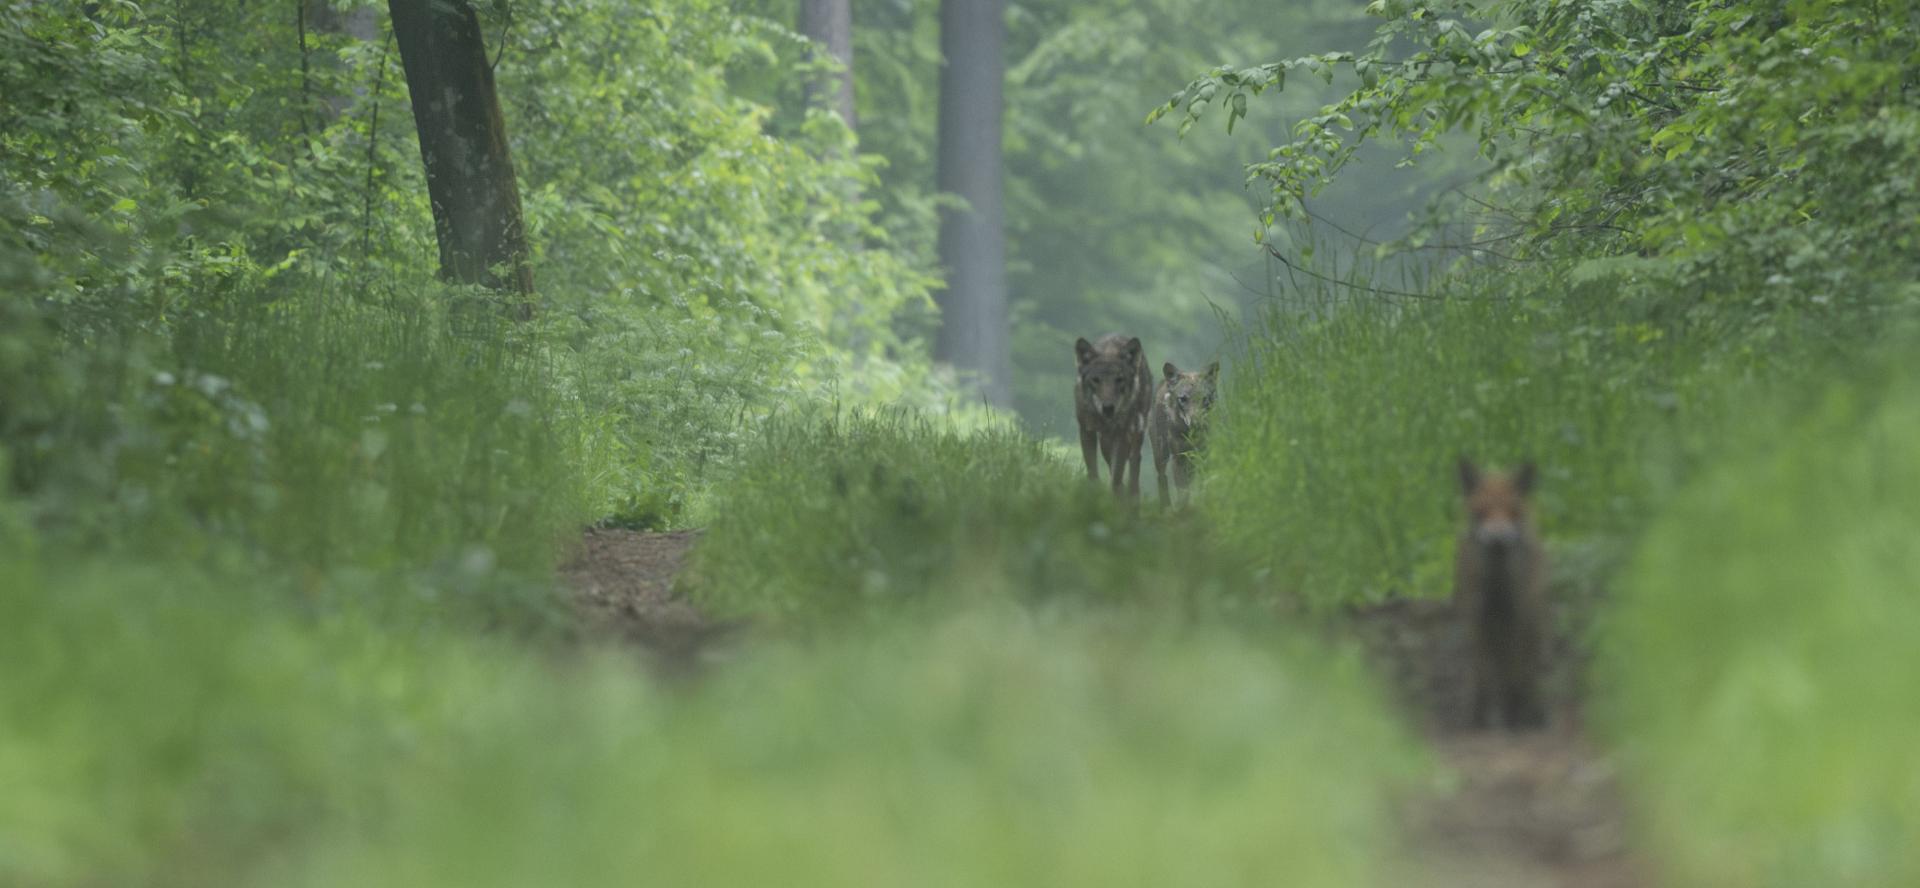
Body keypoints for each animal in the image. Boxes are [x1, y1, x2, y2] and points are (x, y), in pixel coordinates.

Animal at [1075, 333, 1144, 498]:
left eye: (1119, 380)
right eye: (1096, 380)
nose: (1108, 408)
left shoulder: (1122, 434)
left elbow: (1116, 476)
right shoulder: (1086, 431)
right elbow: (1093, 471)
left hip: (1136, 432)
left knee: (1135, 461)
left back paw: (1133, 497)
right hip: (1105, 441)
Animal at [1144, 360, 1221, 510]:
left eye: (1204, 399)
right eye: (1183, 399)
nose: (1196, 422)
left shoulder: (1205, 454)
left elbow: (1204, 482)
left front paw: (1205, 502)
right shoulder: (1179, 457)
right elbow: (1182, 489)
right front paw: (1183, 508)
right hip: (1161, 455)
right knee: (1162, 477)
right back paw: (1165, 508)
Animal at [1451, 458, 1543, 728]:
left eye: (1513, 511)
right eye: (1481, 511)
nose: (1497, 540)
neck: (1498, 591)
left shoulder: (1518, 619)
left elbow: (1515, 675)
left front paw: (1515, 718)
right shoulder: (1478, 621)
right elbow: (1483, 676)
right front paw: (1480, 720)